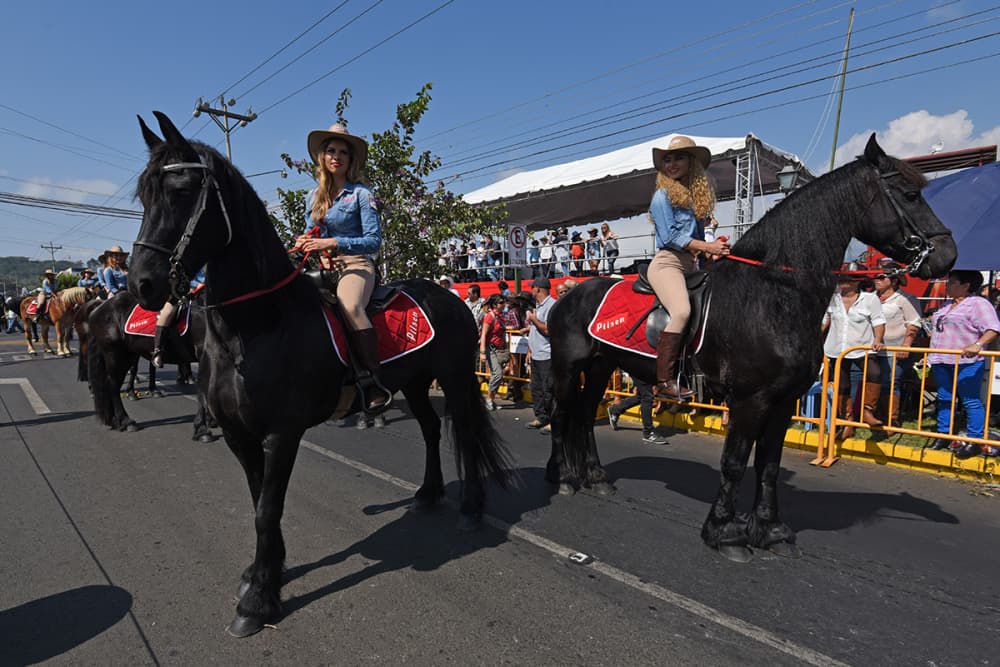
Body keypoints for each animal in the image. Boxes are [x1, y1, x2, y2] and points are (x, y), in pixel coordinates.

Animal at [82, 294, 215, 444]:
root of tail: (99, 307)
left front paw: (210, 421)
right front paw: (202, 429)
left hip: (126, 355)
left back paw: (115, 421)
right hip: (114, 354)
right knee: (113, 385)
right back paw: (126, 421)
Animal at [128, 113, 512, 636]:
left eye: (183, 191)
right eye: (144, 195)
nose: (142, 284)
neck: (257, 326)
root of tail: (449, 296)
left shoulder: (281, 434)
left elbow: (267, 509)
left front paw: (258, 603)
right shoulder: (239, 434)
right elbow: (258, 502)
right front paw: (266, 572)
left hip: (452, 377)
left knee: (465, 434)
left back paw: (470, 509)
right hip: (414, 383)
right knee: (432, 430)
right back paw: (428, 494)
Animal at [552, 136, 956, 564]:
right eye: (910, 194)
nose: (948, 254)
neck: (772, 295)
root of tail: (568, 296)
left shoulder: (783, 400)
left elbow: (768, 465)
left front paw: (769, 529)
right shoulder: (750, 400)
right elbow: (733, 463)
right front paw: (724, 532)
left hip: (600, 366)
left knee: (584, 415)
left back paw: (595, 477)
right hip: (567, 367)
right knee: (562, 415)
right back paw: (563, 478)